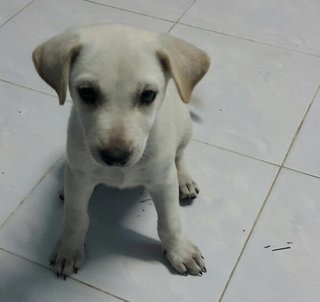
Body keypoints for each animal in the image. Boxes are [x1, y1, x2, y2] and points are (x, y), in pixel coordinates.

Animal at [33, 23, 210, 278]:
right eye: (86, 92)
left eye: (148, 95)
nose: (115, 157)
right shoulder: (81, 177)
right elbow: (75, 217)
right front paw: (69, 249)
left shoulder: (162, 180)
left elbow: (170, 220)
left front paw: (180, 251)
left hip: (185, 128)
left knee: (180, 155)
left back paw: (184, 181)